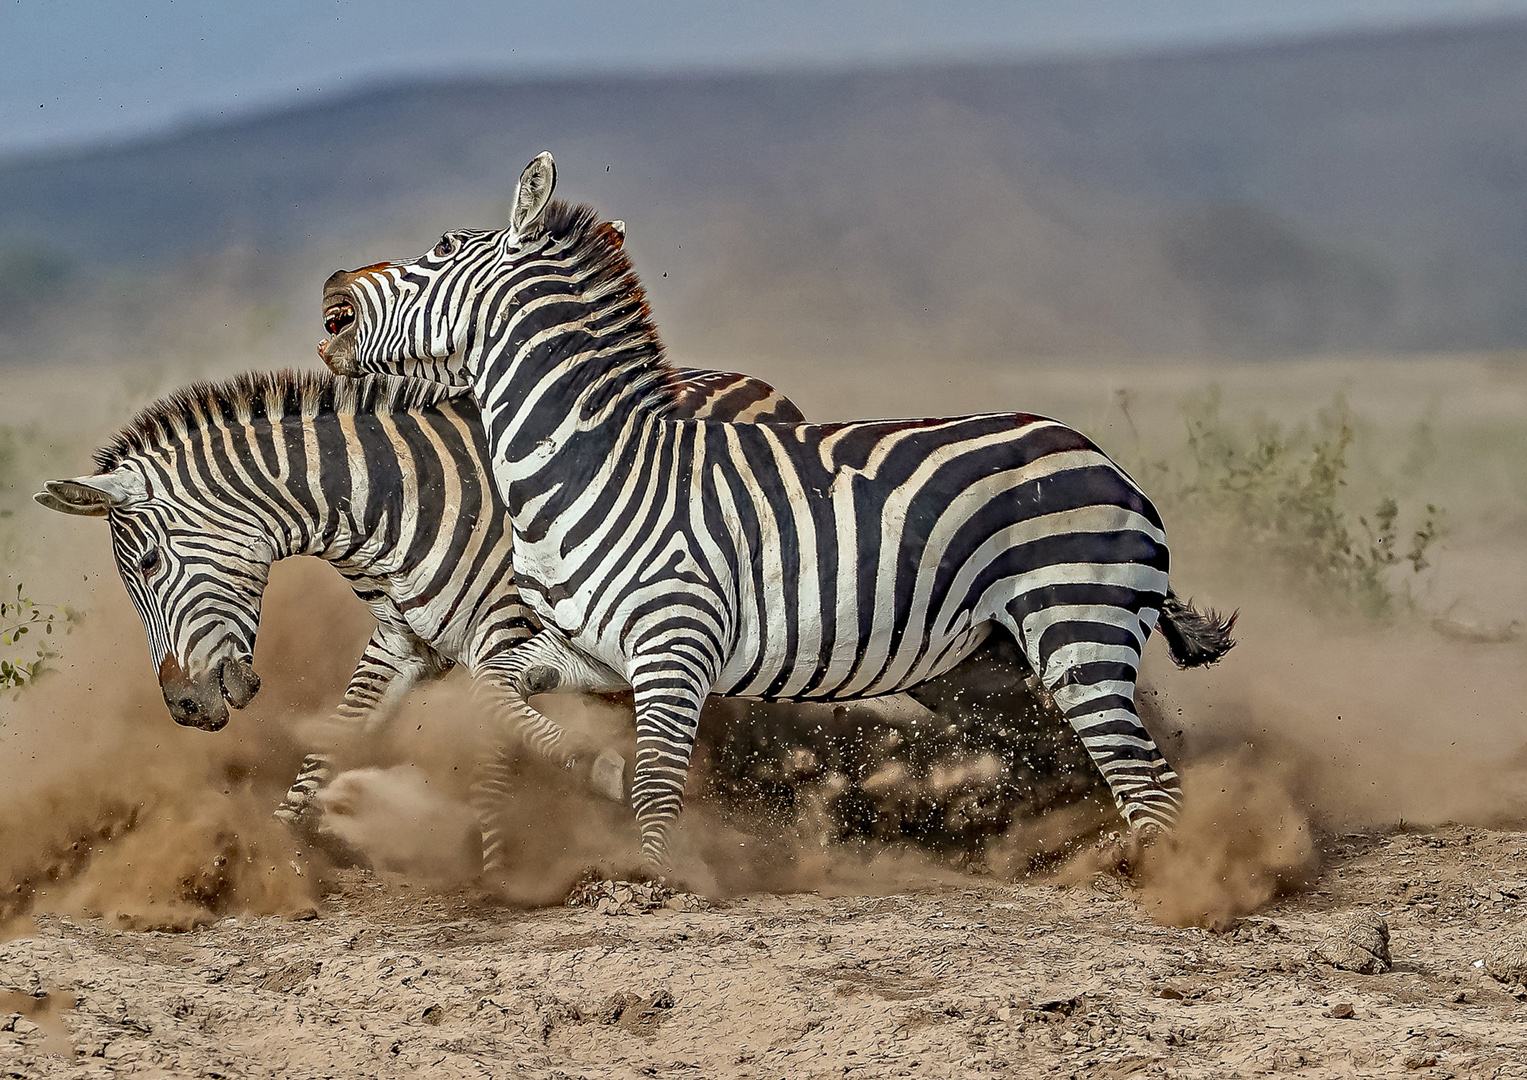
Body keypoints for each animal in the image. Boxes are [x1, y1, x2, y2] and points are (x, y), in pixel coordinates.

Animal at [316, 151, 1233, 867]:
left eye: (438, 248)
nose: (330, 296)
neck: (591, 466)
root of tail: (1103, 460)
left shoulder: (674, 647)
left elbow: (656, 785)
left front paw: (650, 884)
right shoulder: (590, 651)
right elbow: (497, 691)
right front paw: (588, 771)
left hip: (1078, 628)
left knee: (1144, 780)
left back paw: (1170, 884)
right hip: (995, 661)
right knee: (1100, 760)